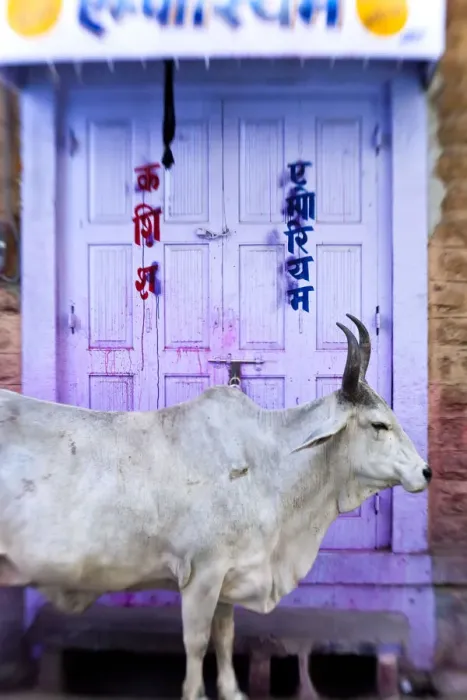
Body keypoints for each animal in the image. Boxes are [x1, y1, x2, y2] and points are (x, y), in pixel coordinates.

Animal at [0, 314, 430, 700]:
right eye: (378, 425)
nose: (425, 471)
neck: (268, 464)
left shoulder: (228, 576)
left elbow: (224, 638)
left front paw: (231, 690)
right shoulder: (200, 573)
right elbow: (197, 641)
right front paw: (196, 692)